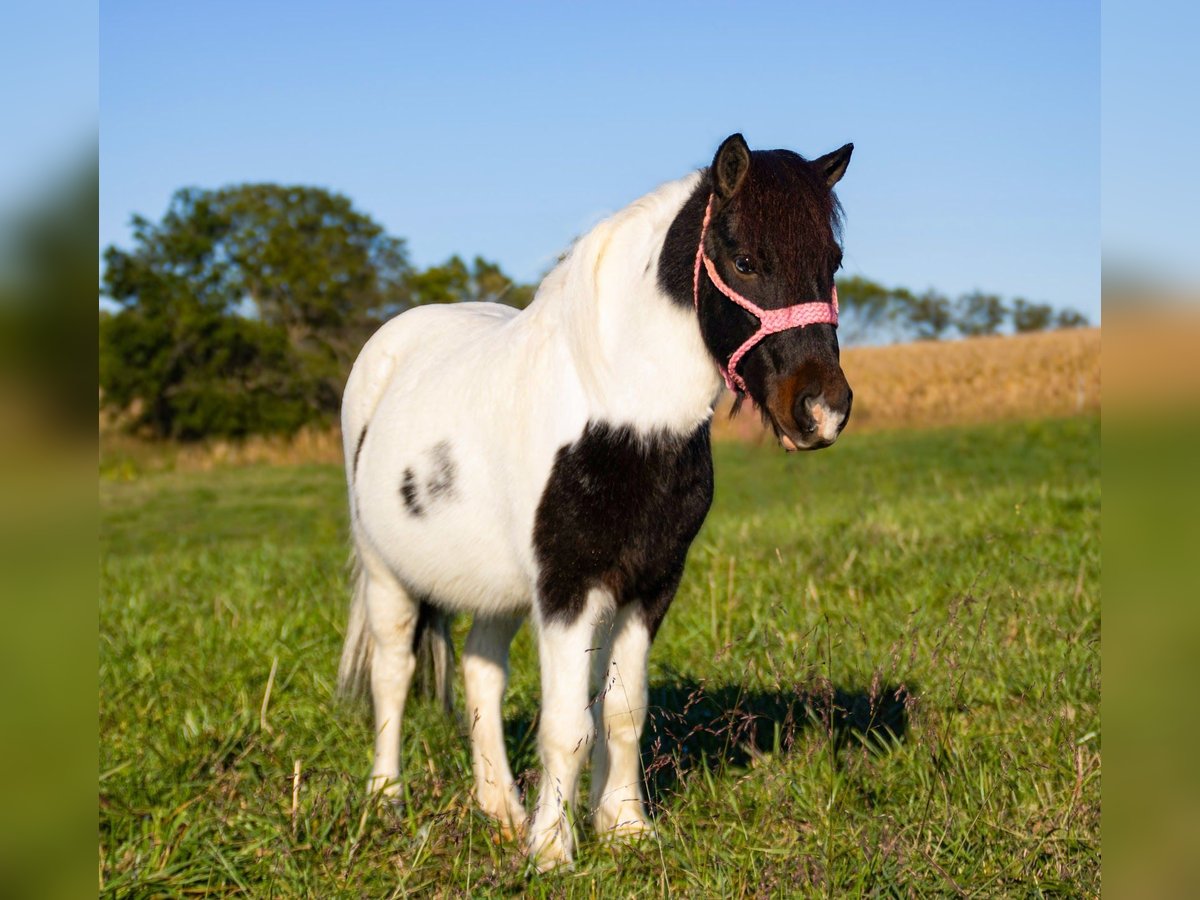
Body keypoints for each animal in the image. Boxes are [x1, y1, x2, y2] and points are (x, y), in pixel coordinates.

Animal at [337, 133, 854, 870]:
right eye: (746, 260)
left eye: (832, 260)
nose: (821, 411)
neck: (615, 411)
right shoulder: (569, 589)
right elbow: (567, 724)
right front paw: (553, 851)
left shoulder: (649, 584)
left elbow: (623, 712)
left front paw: (625, 828)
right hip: (388, 574)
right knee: (392, 674)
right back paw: (386, 802)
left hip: (497, 587)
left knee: (480, 671)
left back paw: (500, 809)